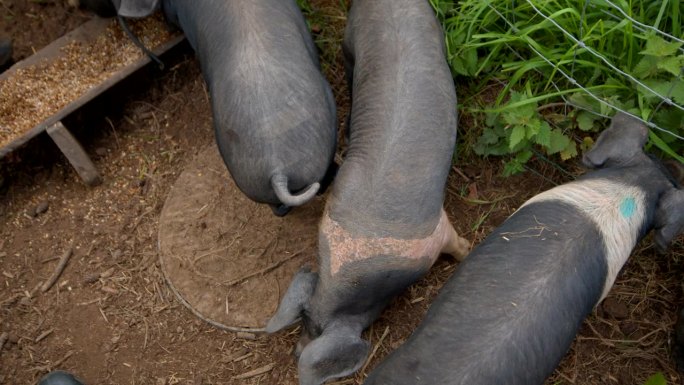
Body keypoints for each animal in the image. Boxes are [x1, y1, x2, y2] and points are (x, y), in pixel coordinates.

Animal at [264, 0, 472, 382]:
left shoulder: (433, 232)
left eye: (318, 332)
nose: (297, 350)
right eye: (304, 324)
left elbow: (453, 242)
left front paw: (467, 253)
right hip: (354, 35)